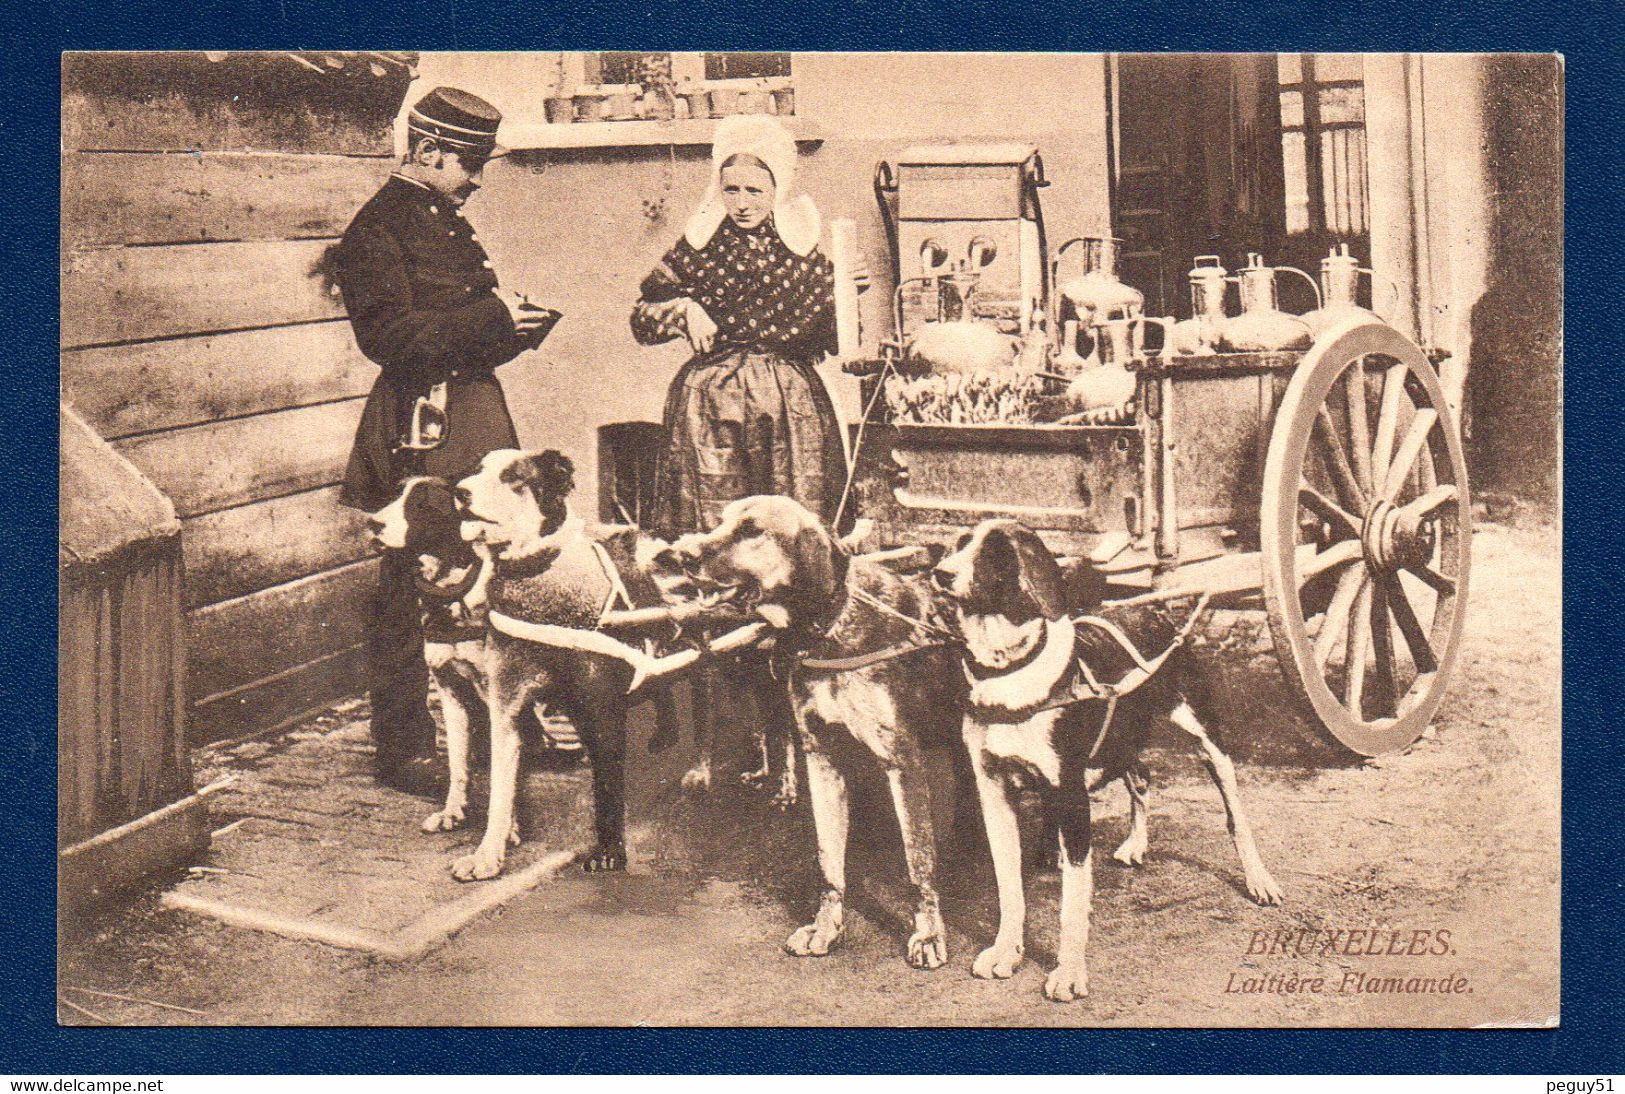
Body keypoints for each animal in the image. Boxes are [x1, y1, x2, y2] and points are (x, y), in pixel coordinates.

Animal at [659, 494, 962, 962]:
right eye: (721, 521)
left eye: (752, 530)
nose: (681, 554)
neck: (829, 628)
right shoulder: (822, 758)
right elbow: (828, 858)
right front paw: (826, 925)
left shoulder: (904, 762)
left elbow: (919, 858)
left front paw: (929, 934)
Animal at [936, 520, 1287, 1001]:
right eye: (957, 544)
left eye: (995, 553)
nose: (940, 574)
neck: (1010, 671)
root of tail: (1152, 611)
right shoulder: (995, 793)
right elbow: (1009, 886)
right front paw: (1007, 950)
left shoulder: (1070, 793)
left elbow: (1072, 903)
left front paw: (1068, 972)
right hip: (1120, 741)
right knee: (1140, 775)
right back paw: (1132, 842)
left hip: (1206, 741)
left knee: (1235, 817)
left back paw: (1259, 880)